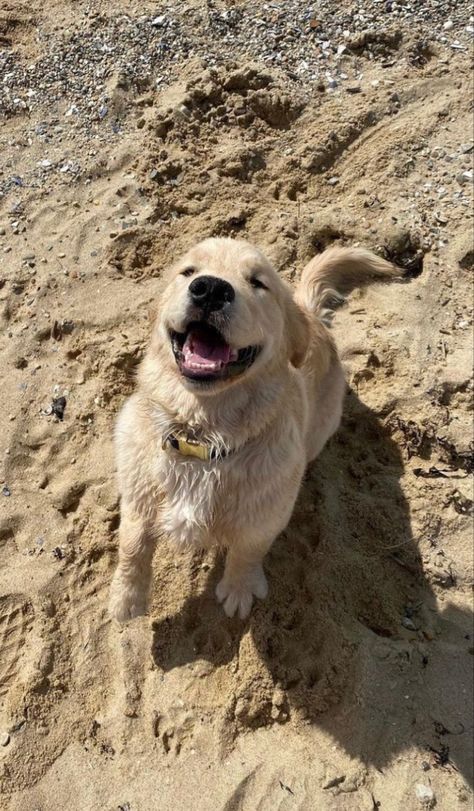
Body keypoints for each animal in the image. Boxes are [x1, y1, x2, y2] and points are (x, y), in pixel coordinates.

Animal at [108, 236, 400, 620]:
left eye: (258, 282)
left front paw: (238, 589)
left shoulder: (264, 519)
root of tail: (310, 314)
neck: (201, 436)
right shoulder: (137, 497)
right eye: (188, 271)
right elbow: (132, 542)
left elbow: (247, 551)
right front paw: (126, 596)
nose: (210, 289)